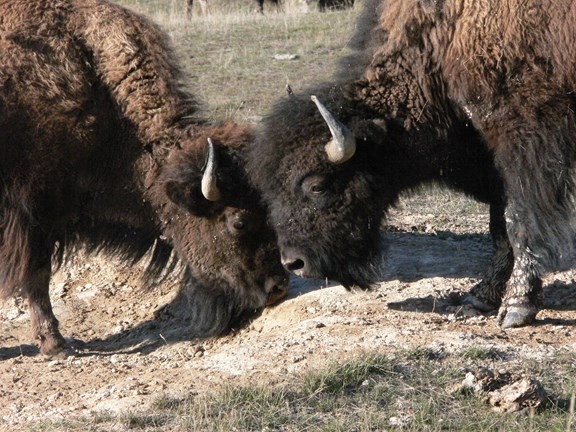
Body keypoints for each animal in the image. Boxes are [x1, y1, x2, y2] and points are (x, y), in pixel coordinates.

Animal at [249, 0, 576, 328]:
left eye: (317, 186)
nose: (295, 262)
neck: (443, 38)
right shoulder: (492, 161)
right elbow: (499, 227)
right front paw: (480, 296)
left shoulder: (523, 138)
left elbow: (518, 220)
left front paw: (516, 307)